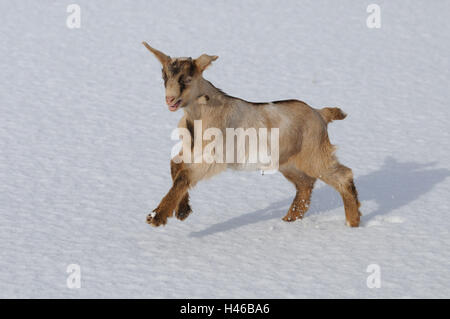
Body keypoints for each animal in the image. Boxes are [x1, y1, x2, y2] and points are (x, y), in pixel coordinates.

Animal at [142, 42, 360, 228]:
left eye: (187, 79)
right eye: (164, 77)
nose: (170, 100)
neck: (200, 113)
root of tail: (320, 113)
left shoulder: (214, 158)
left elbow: (184, 175)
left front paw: (157, 216)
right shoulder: (191, 151)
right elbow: (175, 165)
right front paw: (182, 210)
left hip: (313, 154)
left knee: (343, 175)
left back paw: (353, 222)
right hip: (288, 162)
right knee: (305, 184)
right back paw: (289, 220)